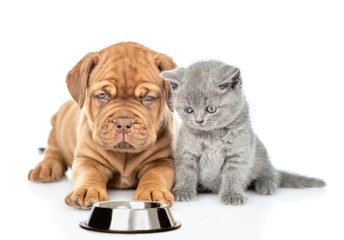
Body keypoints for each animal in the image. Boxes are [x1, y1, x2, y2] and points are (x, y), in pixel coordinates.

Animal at [28, 42, 177, 209]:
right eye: (102, 95)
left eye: (149, 98)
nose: (123, 123)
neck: (125, 154)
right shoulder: (87, 159)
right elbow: (89, 174)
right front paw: (87, 190)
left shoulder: (163, 161)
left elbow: (155, 175)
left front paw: (152, 192)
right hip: (56, 126)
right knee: (53, 151)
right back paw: (45, 168)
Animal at [161, 61, 326, 205]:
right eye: (189, 110)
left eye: (211, 109)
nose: (199, 121)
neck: (212, 136)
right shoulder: (186, 151)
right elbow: (185, 171)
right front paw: (183, 191)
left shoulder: (239, 152)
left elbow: (234, 174)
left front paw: (232, 194)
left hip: (260, 151)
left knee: (271, 172)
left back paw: (266, 184)